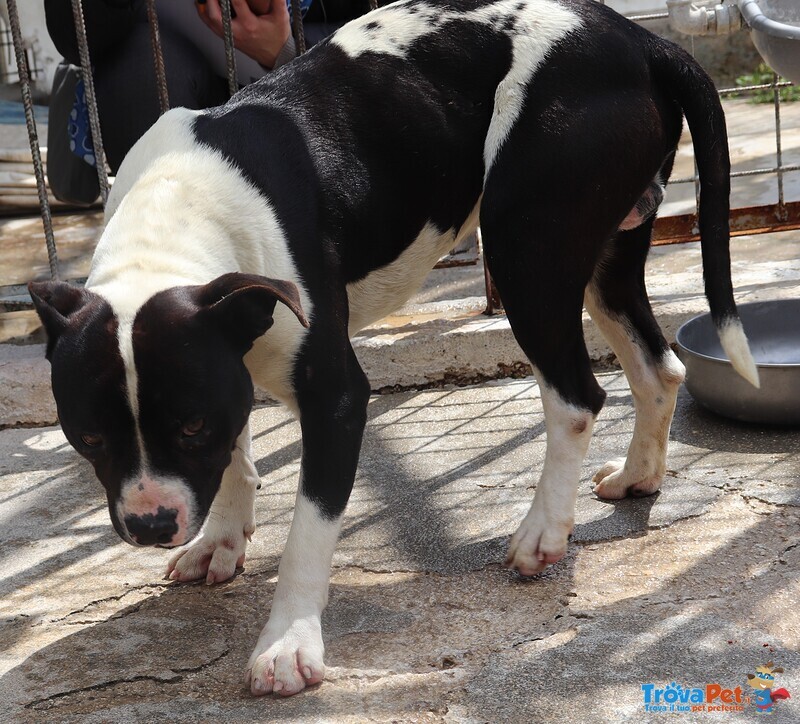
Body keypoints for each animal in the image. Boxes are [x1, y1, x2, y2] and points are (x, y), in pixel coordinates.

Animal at [28, 0, 760, 700]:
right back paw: (638, 474)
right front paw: (223, 539)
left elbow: (307, 534)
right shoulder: (228, 360)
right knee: (657, 367)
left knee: (576, 398)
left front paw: (287, 644)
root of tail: (639, 39)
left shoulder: (334, 399)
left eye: (189, 425)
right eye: (88, 438)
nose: (150, 522)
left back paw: (544, 532)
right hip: (604, 264)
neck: (175, 218)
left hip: (526, 252)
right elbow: (235, 459)